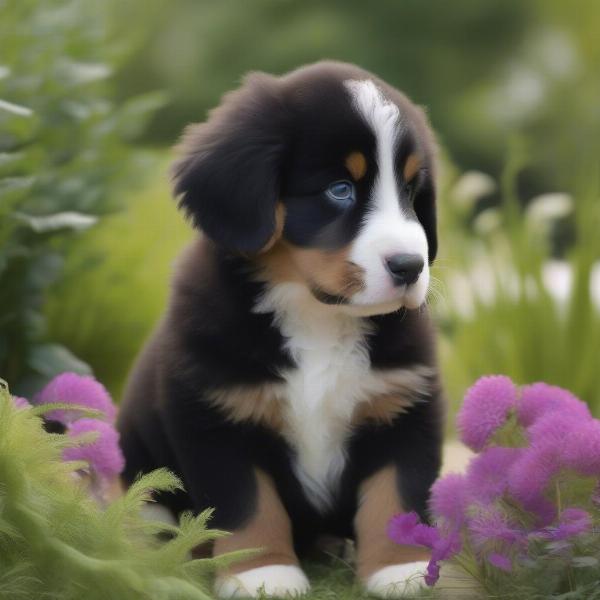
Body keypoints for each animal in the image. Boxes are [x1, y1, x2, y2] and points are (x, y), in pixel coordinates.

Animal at [118, 62, 446, 600]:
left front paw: (401, 570)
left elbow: (396, 493)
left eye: (411, 193)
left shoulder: (404, 404)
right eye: (340, 190)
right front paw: (261, 573)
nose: (409, 266)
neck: (317, 316)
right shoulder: (215, 416)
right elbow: (249, 504)